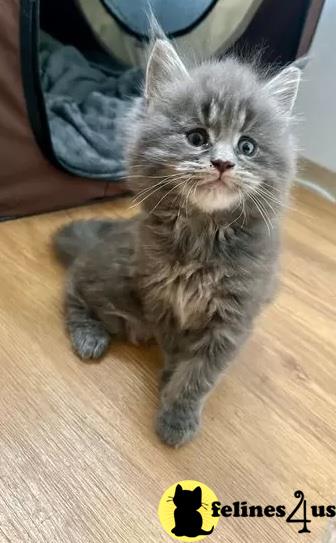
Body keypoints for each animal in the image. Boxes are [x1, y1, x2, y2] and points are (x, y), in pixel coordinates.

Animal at [53, 36, 302, 448]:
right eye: (197, 138)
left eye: (247, 147)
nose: (223, 164)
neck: (203, 236)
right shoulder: (162, 300)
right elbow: (176, 350)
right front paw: (170, 383)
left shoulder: (233, 316)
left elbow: (200, 373)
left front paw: (177, 412)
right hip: (113, 277)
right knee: (74, 285)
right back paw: (89, 335)